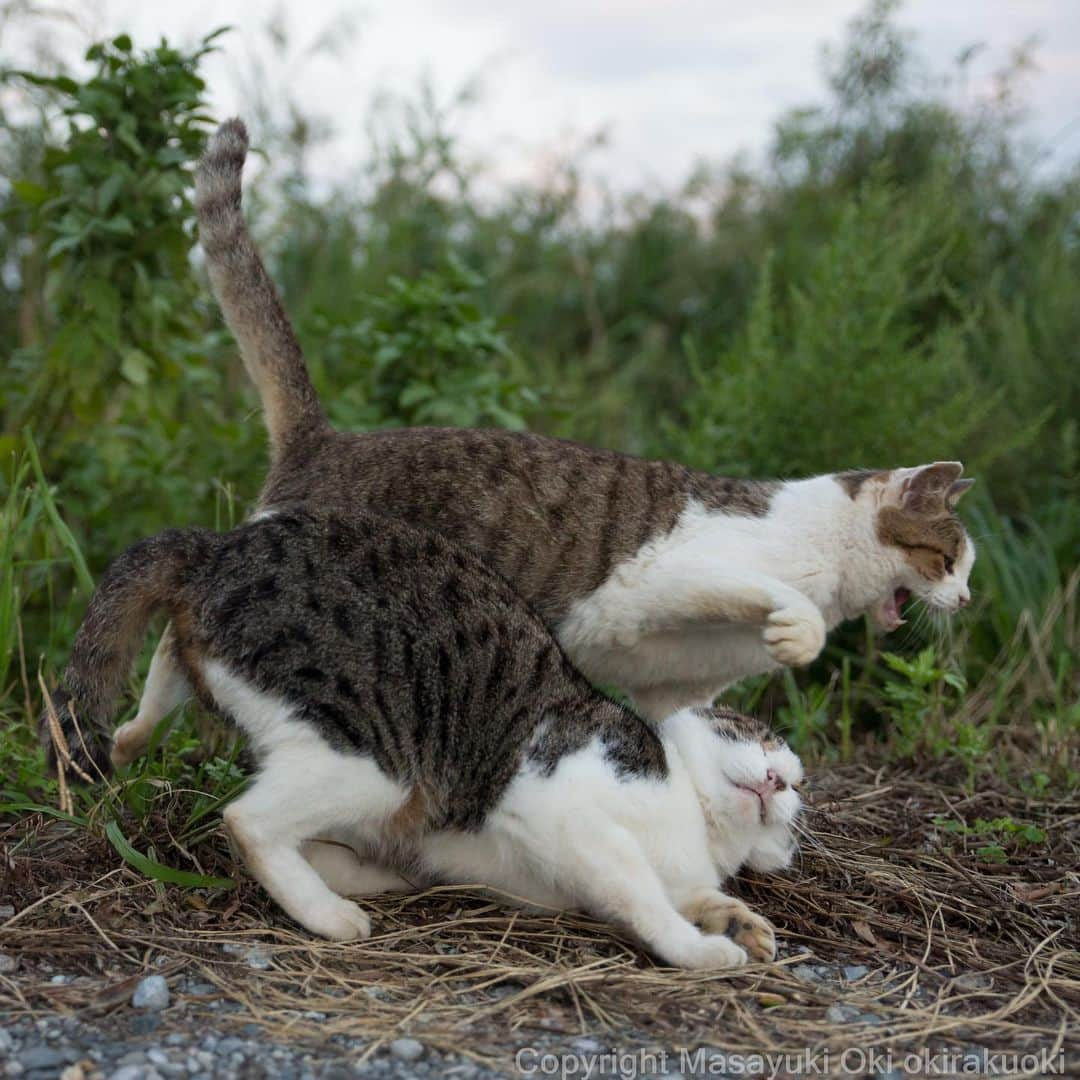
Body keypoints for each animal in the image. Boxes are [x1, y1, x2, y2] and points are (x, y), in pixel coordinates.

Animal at [39, 507, 803, 972]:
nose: (777, 781)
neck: (693, 826)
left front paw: (737, 920)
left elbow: (681, 895)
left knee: (172, 652)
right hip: (378, 762)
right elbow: (644, 894)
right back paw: (331, 915)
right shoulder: (567, 807)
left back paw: (134, 734)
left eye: (795, 793)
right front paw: (702, 950)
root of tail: (222, 547)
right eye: (764, 741)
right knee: (246, 820)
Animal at [113, 122, 976, 768]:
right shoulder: (671, 577)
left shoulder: (674, 690)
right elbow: (784, 604)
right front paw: (798, 635)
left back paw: (130, 738)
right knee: (175, 637)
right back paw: (132, 732)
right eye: (946, 560)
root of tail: (325, 440)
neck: (834, 553)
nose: (966, 599)